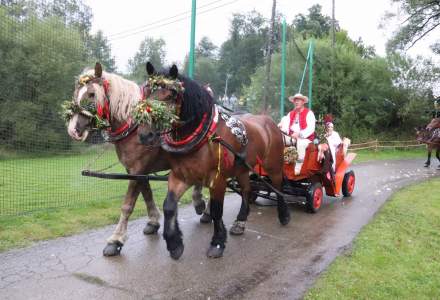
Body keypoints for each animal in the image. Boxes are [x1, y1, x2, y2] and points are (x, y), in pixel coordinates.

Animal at [65, 62, 208, 255]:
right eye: (76, 93)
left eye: (92, 94)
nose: (73, 129)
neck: (134, 126)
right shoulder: (136, 170)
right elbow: (146, 194)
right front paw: (153, 221)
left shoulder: (137, 169)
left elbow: (127, 205)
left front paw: (116, 239)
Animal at [136, 62, 290, 258]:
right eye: (146, 92)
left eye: (170, 96)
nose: (145, 135)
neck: (204, 137)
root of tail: (270, 122)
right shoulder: (180, 176)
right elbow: (169, 206)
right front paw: (174, 243)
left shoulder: (218, 180)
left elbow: (217, 211)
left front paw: (217, 242)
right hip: (241, 169)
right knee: (247, 190)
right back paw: (240, 222)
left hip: (273, 165)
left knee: (278, 186)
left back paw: (284, 214)